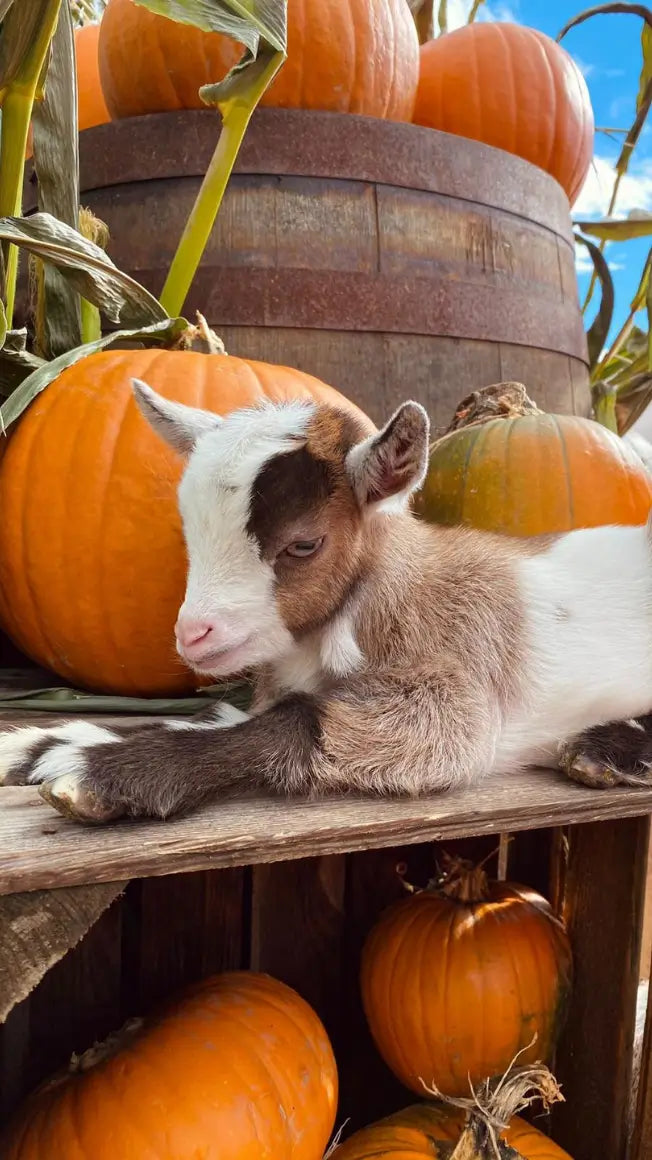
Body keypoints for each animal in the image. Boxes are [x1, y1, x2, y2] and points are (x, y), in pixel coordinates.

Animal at [2, 382, 652, 824]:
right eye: (188, 531)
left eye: (304, 543)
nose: (195, 635)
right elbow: (222, 714)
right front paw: (37, 745)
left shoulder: (455, 691)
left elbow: (301, 721)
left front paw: (98, 773)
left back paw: (607, 750)